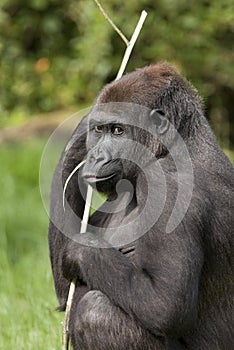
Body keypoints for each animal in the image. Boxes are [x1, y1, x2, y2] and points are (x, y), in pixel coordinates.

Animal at [48, 63, 234, 350]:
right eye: (99, 130)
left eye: (118, 131)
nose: (96, 157)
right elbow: (64, 294)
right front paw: (78, 136)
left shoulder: (167, 187)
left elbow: (165, 306)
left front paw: (80, 248)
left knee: (96, 311)